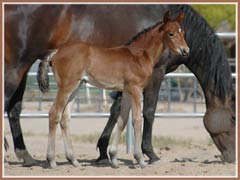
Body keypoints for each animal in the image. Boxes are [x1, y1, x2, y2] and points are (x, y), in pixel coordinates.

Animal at [38, 11, 189, 169]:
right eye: (171, 33)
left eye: (183, 32)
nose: (186, 51)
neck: (139, 55)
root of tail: (57, 51)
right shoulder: (136, 89)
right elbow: (137, 120)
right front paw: (140, 159)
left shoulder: (127, 92)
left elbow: (122, 121)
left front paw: (114, 158)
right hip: (66, 86)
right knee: (54, 113)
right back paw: (52, 160)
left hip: (76, 87)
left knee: (65, 118)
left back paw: (73, 160)